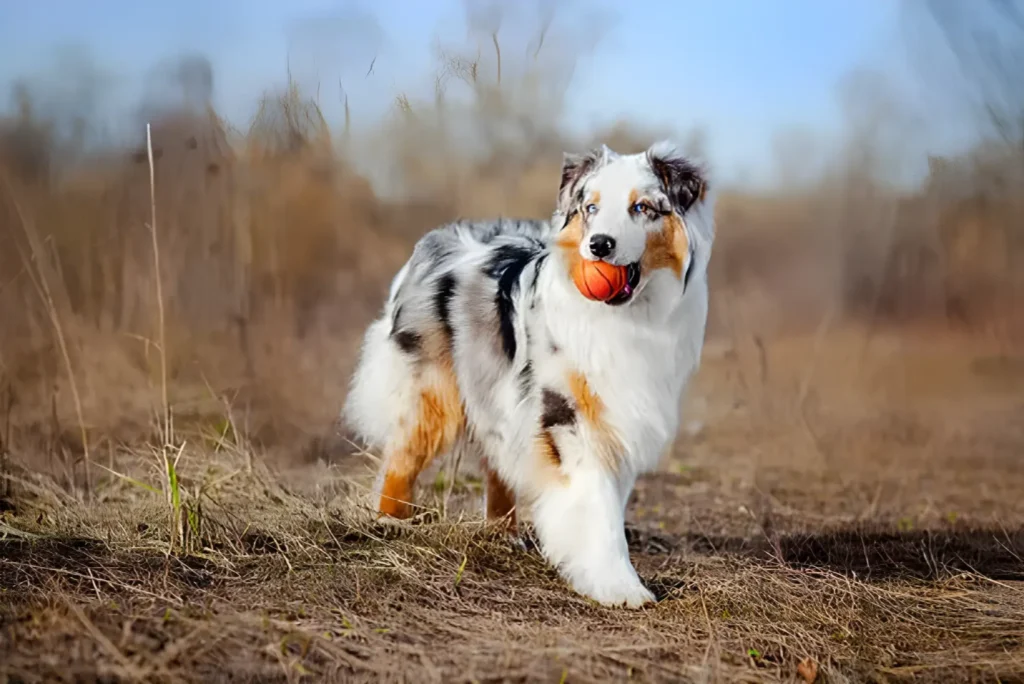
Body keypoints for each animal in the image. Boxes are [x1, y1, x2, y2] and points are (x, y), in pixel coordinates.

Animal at [344, 140, 712, 602]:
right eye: (591, 208)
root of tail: (439, 239)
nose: (599, 245)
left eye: (642, 207)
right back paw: (390, 522)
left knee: (496, 460)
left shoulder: (619, 415)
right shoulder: (567, 413)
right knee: (403, 456)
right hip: (432, 391)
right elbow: (597, 505)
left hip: (495, 390)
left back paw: (503, 533)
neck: (626, 318)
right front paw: (618, 586)